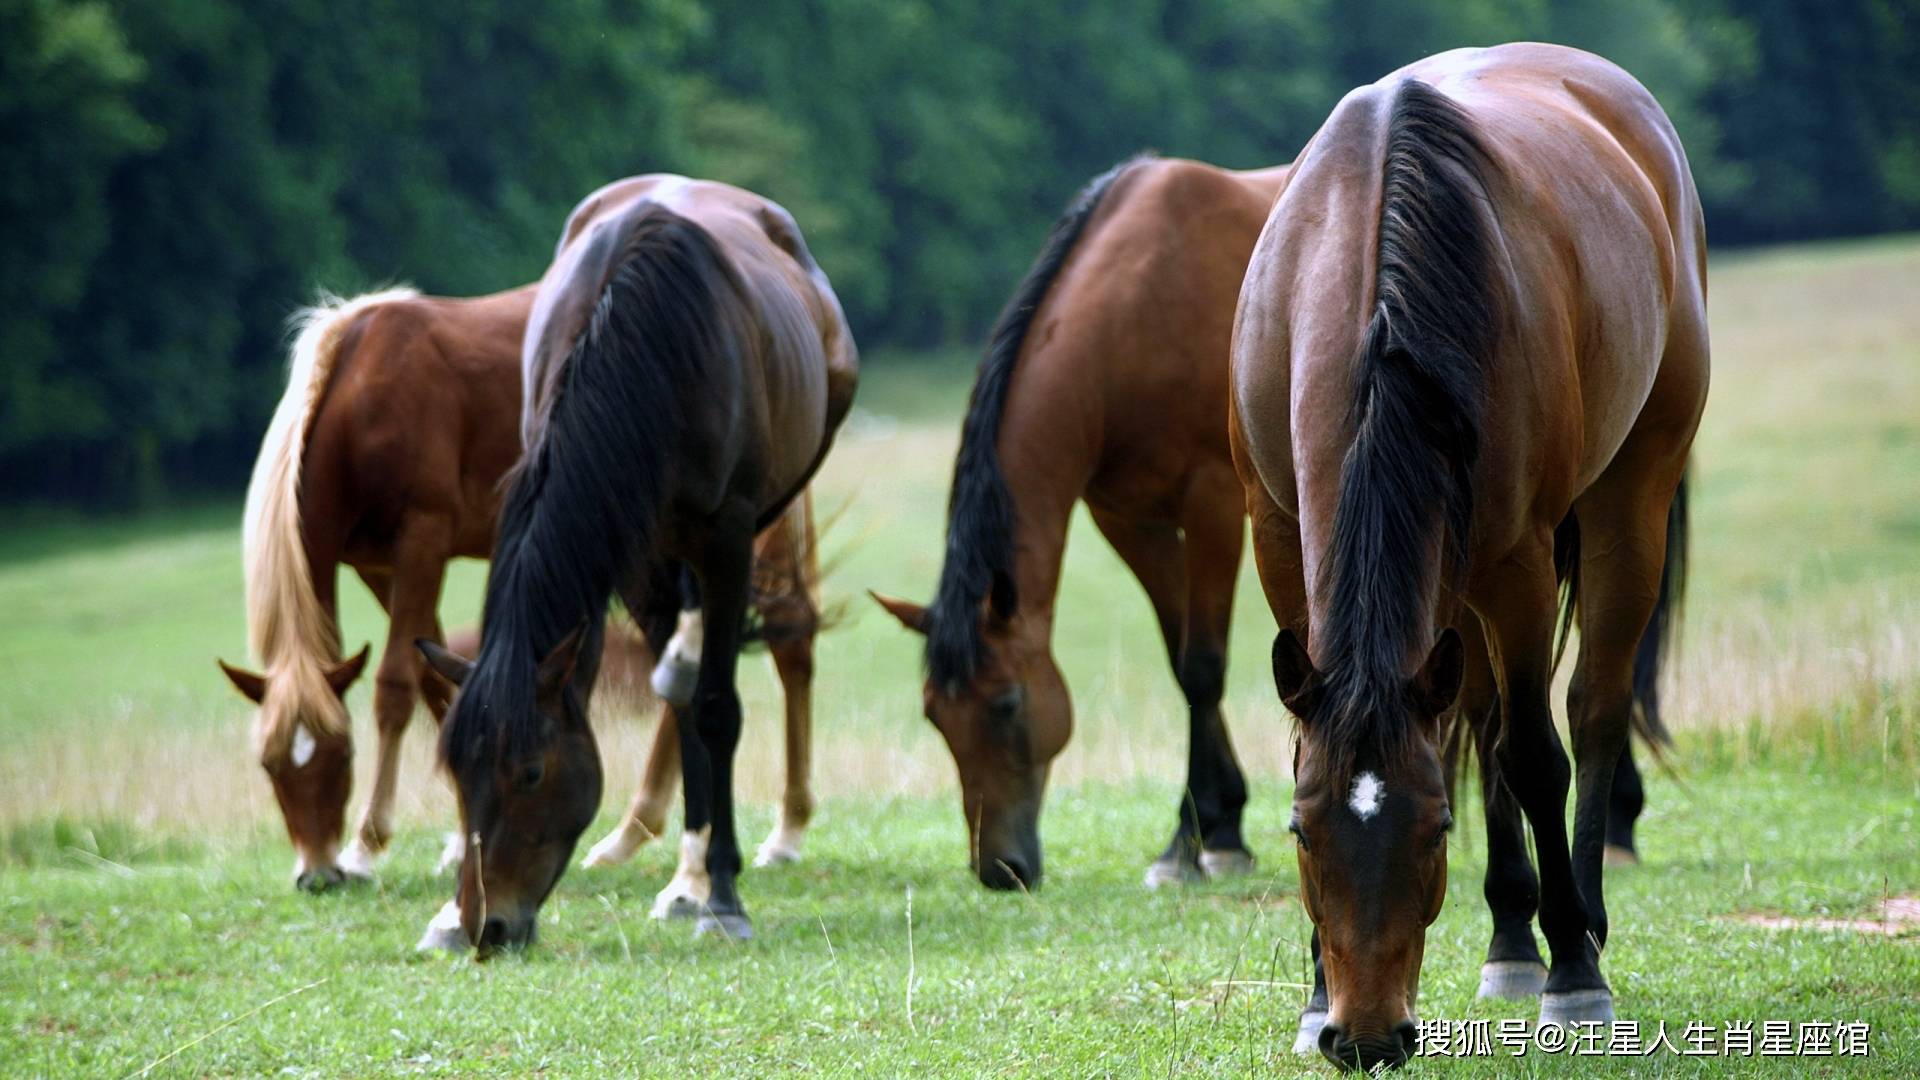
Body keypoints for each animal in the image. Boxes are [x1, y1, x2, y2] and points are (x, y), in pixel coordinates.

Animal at [418, 171, 856, 945]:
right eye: (456, 774)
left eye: (532, 772)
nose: (486, 925)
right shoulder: (631, 547)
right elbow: (682, 709)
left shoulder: (727, 537)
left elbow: (716, 708)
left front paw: (723, 896)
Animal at [879, 155, 1297, 887]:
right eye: (934, 715)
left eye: (1007, 704)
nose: (1000, 869)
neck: (1137, 313)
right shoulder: (1128, 520)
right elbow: (1179, 657)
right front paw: (1221, 824)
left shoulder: (1214, 503)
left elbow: (1202, 665)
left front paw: (1188, 845)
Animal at [1228, 44, 1712, 1068]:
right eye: (1301, 829)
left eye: (1435, 826)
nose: (1366, 1038)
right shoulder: (1279, 538)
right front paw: (1315, 993)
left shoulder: (1519, 564)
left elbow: (1534, 755)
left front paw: (1575, 974)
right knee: (1483, 716)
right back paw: (1510, 939)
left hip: (1629, 498)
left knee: (1591, 707)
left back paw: (1577, 925)